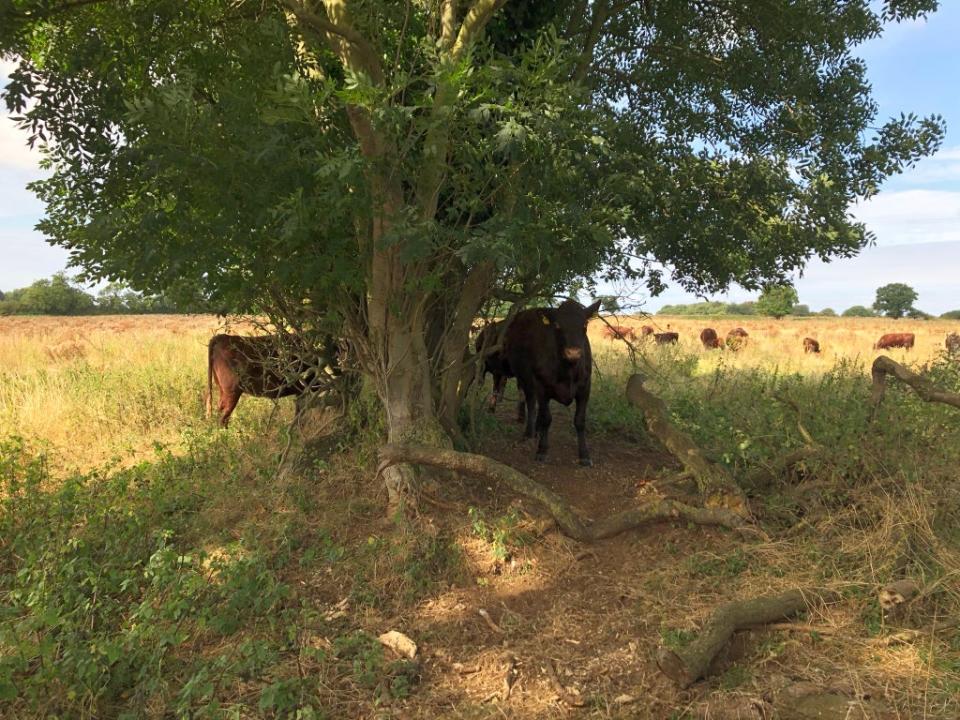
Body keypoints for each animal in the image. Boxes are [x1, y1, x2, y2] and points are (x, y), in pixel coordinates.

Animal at [502, 298, 600, 466]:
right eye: (558, 325)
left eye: (585, 325)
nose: (573, 352)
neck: (567, 371)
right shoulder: (542, 386)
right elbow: (547, 418)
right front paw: (542, 450)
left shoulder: (585, 387)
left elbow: (580, 421)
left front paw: (584, 455)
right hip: (524, 378)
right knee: (531, 403)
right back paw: (530, 432)